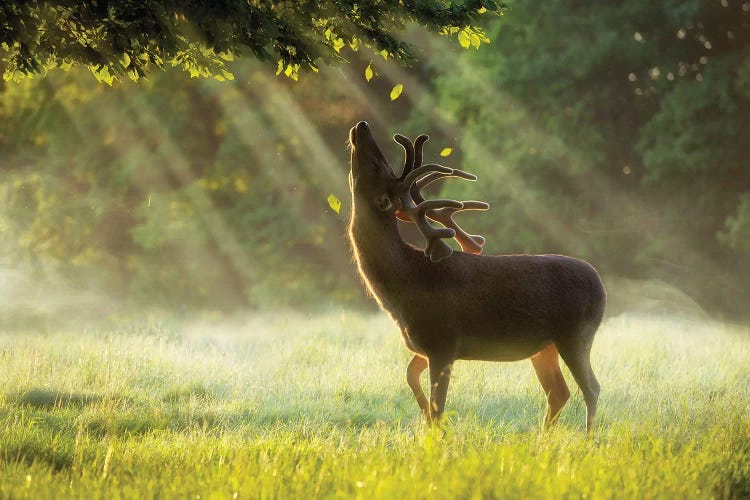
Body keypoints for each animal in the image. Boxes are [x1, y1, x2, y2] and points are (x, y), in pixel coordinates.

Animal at [350, 120, 608, 430]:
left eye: (379, 166)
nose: (362, 126)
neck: (404, 285)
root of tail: (601, 285)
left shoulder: (443, 340)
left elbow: (438, 406)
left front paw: (435, 433)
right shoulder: (425, 346)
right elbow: (411, 378)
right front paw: (423, 419)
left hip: (576, 334)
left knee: (591, 388)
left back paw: (588, 437)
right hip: (545, 346)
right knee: (559, 391)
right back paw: (543, 436)